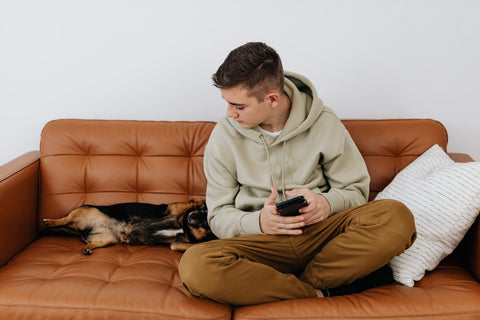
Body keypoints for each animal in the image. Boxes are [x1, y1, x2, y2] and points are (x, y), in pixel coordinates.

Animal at [42, 200, 216, 255]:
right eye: (202, 212)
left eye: (206, 223)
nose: (192, 216)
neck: (183, 226)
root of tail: (81, 230)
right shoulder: (172, 208)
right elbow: (188, 204)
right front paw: (196, 203)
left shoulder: (176, 244)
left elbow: (190, 246)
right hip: (81, 213)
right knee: (63, 219)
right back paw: (49, 222)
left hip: (107, 239)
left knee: (91, 242)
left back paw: (88, 248)